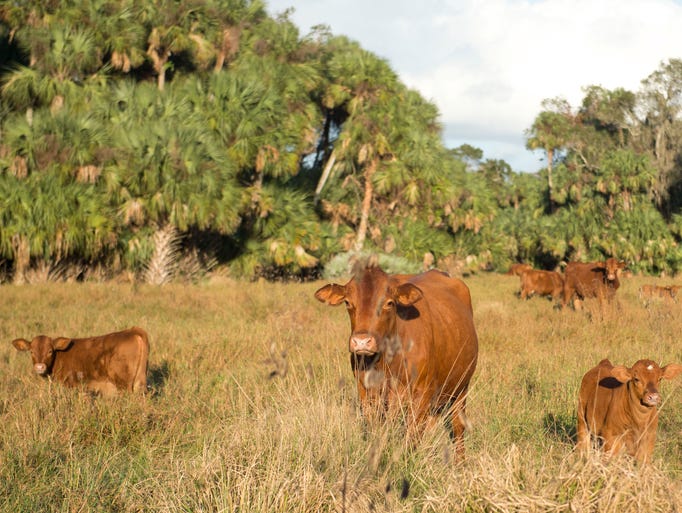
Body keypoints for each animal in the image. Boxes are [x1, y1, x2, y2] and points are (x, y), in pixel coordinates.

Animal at [10, 326, 149, 394]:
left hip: (124, 384)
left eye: (50, 351)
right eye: (31, 351)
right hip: (139, 382)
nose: (39, 367)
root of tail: (132, 331)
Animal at [314, 264, 478, 456]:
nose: (362, 341)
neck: (386, 362)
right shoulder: (366, 392)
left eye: (389, 303)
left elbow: (412, 436)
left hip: (461, 387)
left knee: (458, 428)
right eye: (347, 302)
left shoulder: (421, 393)